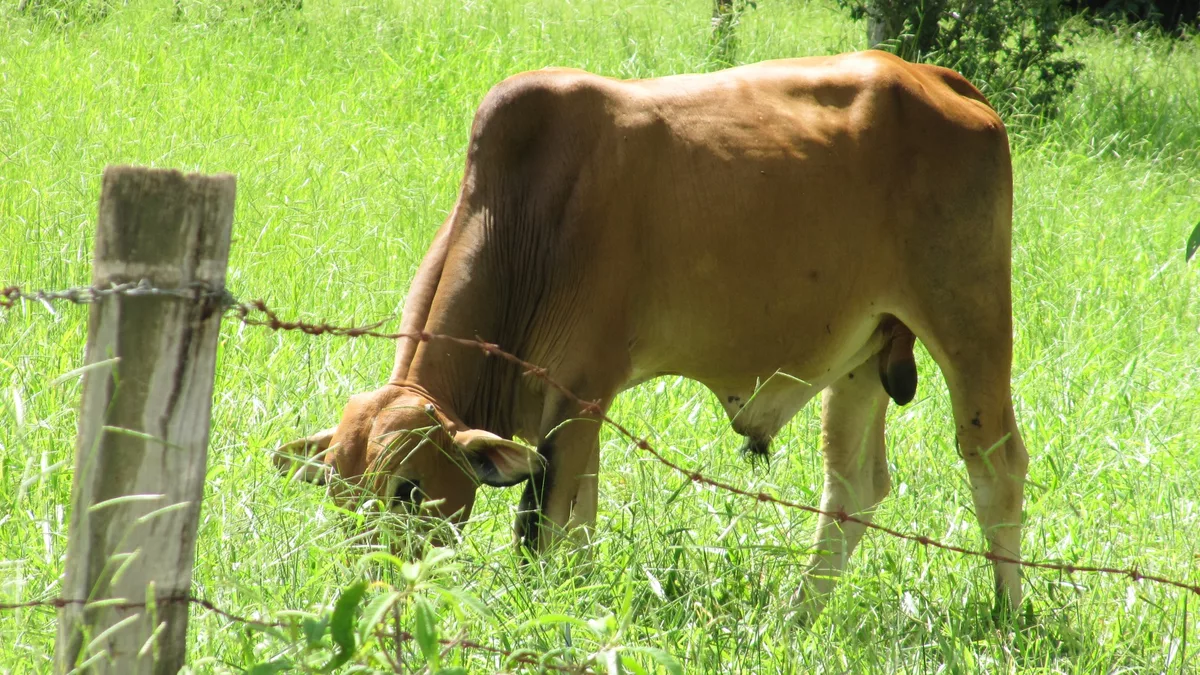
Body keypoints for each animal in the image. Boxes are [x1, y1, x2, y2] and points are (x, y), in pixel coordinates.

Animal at [275, 50, 1028, 618]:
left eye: (407, 488)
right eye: (336, 489)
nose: (370, 588)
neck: (524, 217)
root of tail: (938, 78)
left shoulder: (581, 392)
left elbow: (543, 530)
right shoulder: (572, 413)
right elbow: (576, 526)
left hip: (971, 316)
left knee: (995, 465)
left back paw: (1006, 616)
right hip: (864, 349)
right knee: (853, 489)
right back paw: (797, 616)